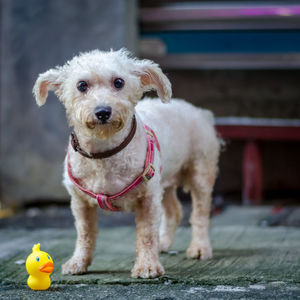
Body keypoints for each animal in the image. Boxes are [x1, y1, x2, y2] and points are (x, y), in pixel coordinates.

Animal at [32, 48, 220, 278]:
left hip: (200, 172)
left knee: (200, 213)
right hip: (164, 181)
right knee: (174, 211)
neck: (105, 153)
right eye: (81, 85)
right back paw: (163, 243)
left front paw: (147, 266)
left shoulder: (148, 197)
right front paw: (78, 262)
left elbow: (147, 233)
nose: (103, 111)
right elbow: (84, 233)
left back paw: (200, 248)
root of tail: (200, 112)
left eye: (119, 82)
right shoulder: (80, 202)